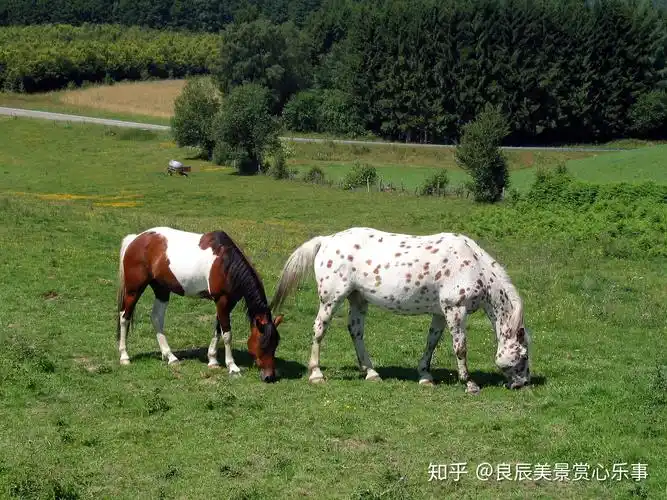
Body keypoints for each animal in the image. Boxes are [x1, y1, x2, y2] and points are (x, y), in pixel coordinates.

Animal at [116, 226, 283, 382]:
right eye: (263, 344)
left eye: (276, 344)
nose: (270, 377)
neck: (226, 263)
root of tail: (135, 239)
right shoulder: (222, 300)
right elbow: (227, 334)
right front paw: (232, 367)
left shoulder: (227, 303)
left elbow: (218, 330)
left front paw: (213, 360)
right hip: (133, 290)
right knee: (124, 317)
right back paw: (124, 357)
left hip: (162, 289)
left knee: (156, 318)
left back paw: (170, 356)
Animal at [270, 227, 530, 394]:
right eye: (524, 356)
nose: (523, 384)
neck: (474, 265)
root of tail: (325, 240)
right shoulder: (455, 310)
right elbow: (460, 348)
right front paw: (469, 383)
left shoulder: (440, 313)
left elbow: (432, 342)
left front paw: (425, 376)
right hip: (331, 299)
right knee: (319, 329)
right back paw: (316, 374)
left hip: (358, 299)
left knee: (356, 331)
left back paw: (371, 373)